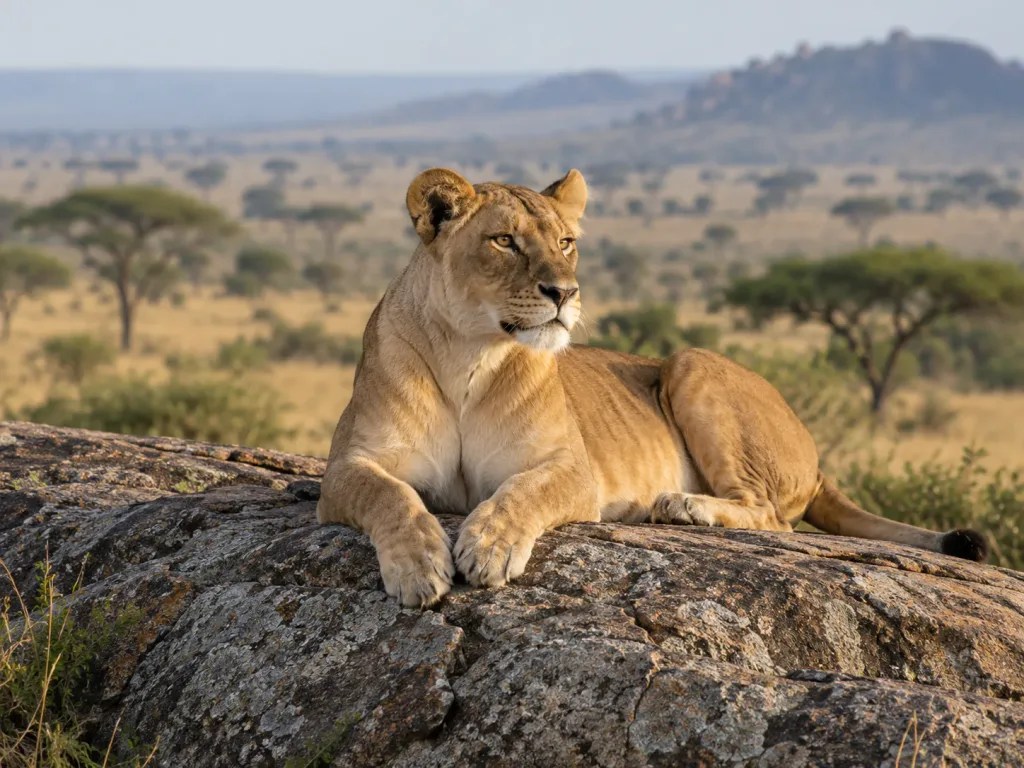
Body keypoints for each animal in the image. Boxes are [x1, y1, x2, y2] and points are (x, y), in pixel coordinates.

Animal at [316, 167, 988, 608]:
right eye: (504, 241)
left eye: (566, 243)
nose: (564, 292)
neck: (469, 356)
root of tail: (816, 461)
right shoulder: (351, 463)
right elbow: (391, 497)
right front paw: (418, 565)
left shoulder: (571, 469)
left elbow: (520, 495)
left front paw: (487, 545)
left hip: (690, 362)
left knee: (774, 518)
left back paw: (682, 505)